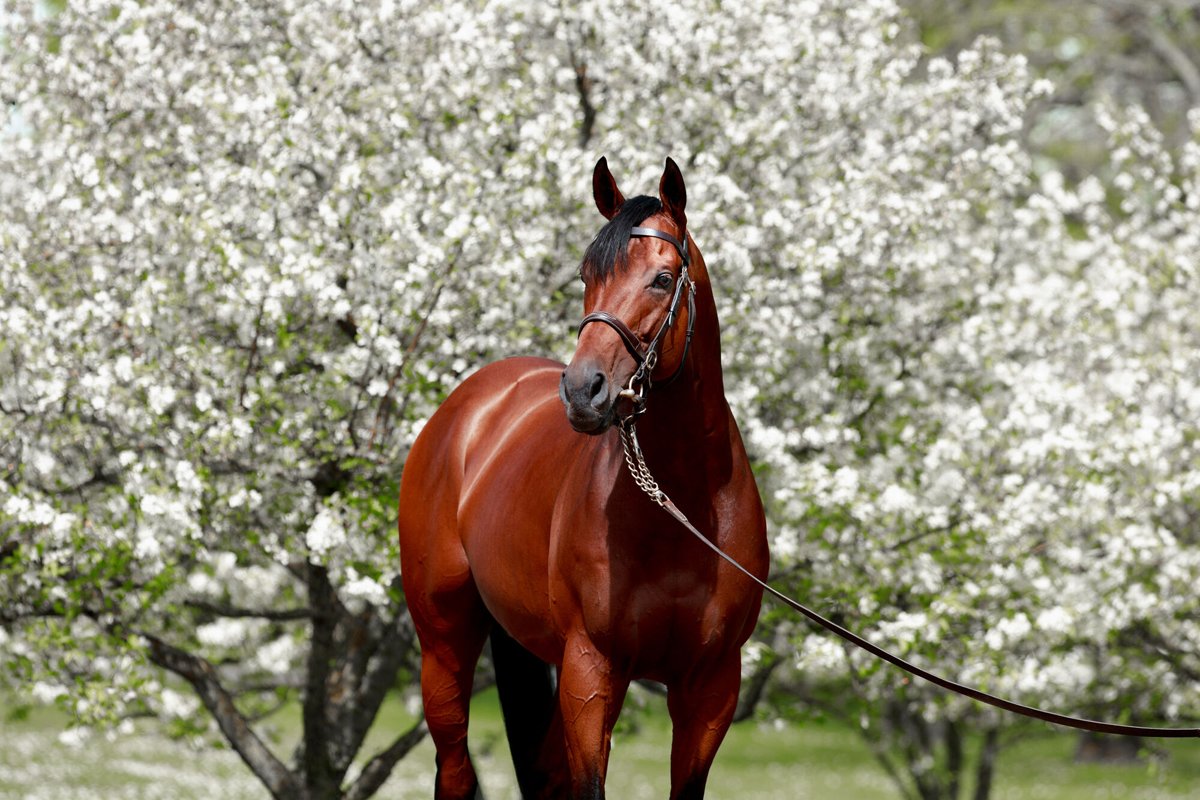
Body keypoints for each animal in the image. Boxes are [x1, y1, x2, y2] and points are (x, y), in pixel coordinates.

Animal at [398, 156, 769, 800]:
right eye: (586, 275)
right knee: (455, 770)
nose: (581, 390)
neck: (684, 508)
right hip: (444, 644)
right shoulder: (589, 670)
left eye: (663, 279)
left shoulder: (711, 687)